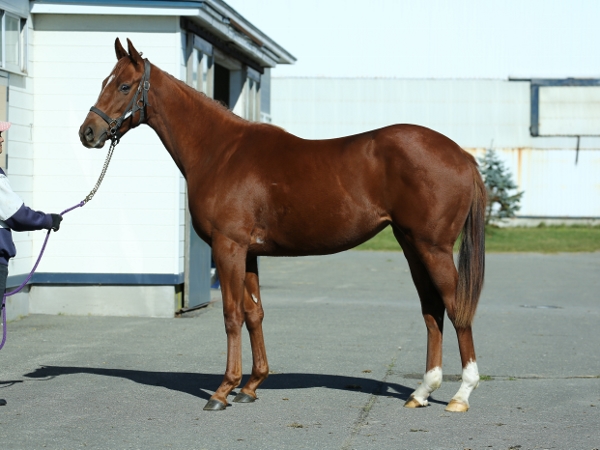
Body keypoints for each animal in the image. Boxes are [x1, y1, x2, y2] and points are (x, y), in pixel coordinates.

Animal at [79, 38, 486, 413]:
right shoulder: (249, 253)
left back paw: (461, 395)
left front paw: (222, 391)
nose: (88, 132)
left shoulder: (228, 247)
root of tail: (462, 156)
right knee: (432, 310)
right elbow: (253, 313)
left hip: (432, 248)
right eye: (104, 81)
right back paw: (422, 391)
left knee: (456, 308)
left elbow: (231, 315)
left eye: (124, 86)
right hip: (412, 246)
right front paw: (250, 385)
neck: (220, 152)